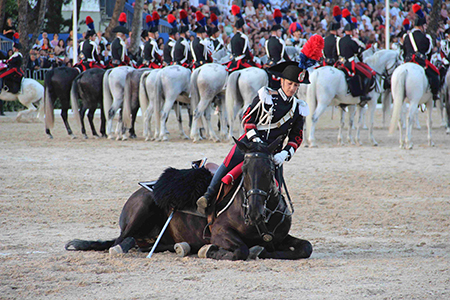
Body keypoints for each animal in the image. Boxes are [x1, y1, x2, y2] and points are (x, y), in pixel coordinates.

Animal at [66, 137, 312, 260]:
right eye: (245, 168)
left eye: (270, 170)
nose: (253, 212)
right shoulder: (220, 231)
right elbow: (241, 250)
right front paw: (209, 250)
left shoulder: (280, 237)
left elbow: (305, 248)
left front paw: (265, 250)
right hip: (142, 207)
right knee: (119, 242)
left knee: (144, 244)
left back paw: (182, 246)